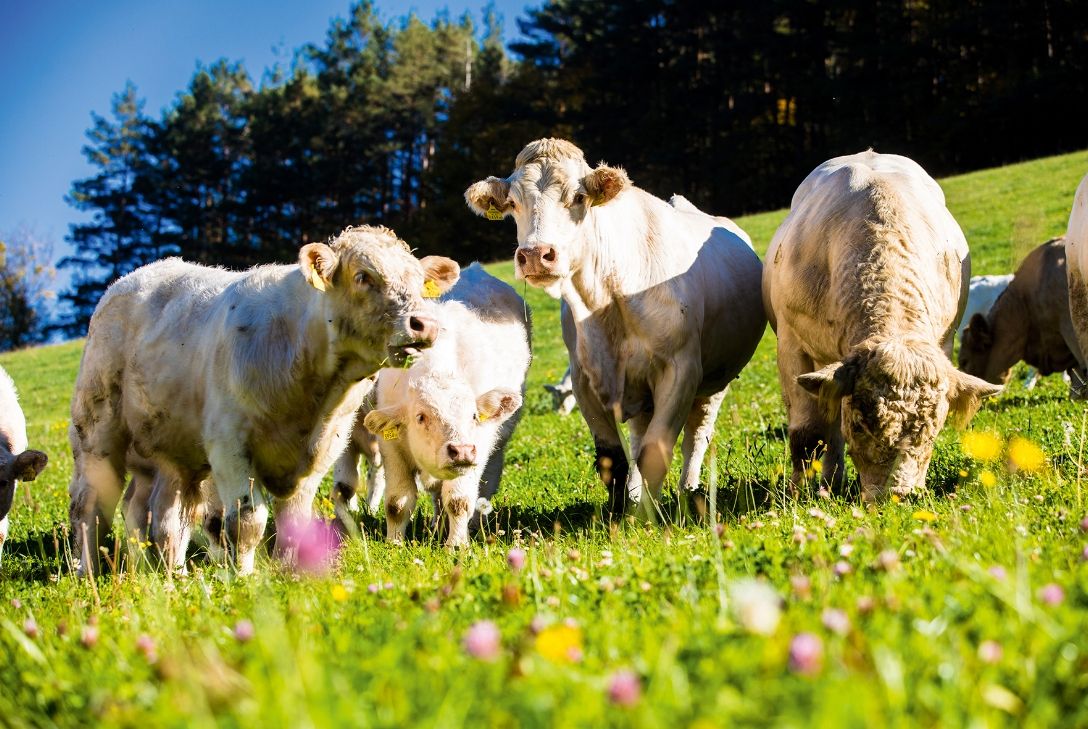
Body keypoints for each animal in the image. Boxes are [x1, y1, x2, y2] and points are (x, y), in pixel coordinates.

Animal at [66, 225, 459, 574]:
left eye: (417, 282)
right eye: (363, 276)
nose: (424, 324)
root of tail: (136, 276)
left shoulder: (320, 453)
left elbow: (294, 520)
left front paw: (288, 571)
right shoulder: (229, 446)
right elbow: (246, 521)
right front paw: (244, 576)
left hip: (172, 450)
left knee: (162, 516)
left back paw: (167, 574)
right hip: (97, 431)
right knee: (91, 506)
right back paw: (87, 571)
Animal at [361, 264, 530, 548]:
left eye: (473, 416)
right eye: (420, 417)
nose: (460, 451)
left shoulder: (476, 447)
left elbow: (459, 501)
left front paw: (457, 545)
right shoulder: (391, 448)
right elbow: (397, 502)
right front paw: (394, 543)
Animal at [467, 140, 765, 517]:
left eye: (578, 196)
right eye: (513, 203)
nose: (536, 255)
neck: (605, 300)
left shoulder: (680, 370)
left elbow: (656, 449)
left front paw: (644, 518)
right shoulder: (585, 380)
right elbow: (614, 458)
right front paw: (619, 513)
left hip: (716, 380)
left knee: (697, 435)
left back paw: (688, 491)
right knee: (638, 438)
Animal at [761, 147, 996, 502]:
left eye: (933, 429)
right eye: (860, 424)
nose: (896, 495)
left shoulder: (943, 342)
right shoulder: (792, 345)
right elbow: (808, 434)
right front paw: (798, 496)